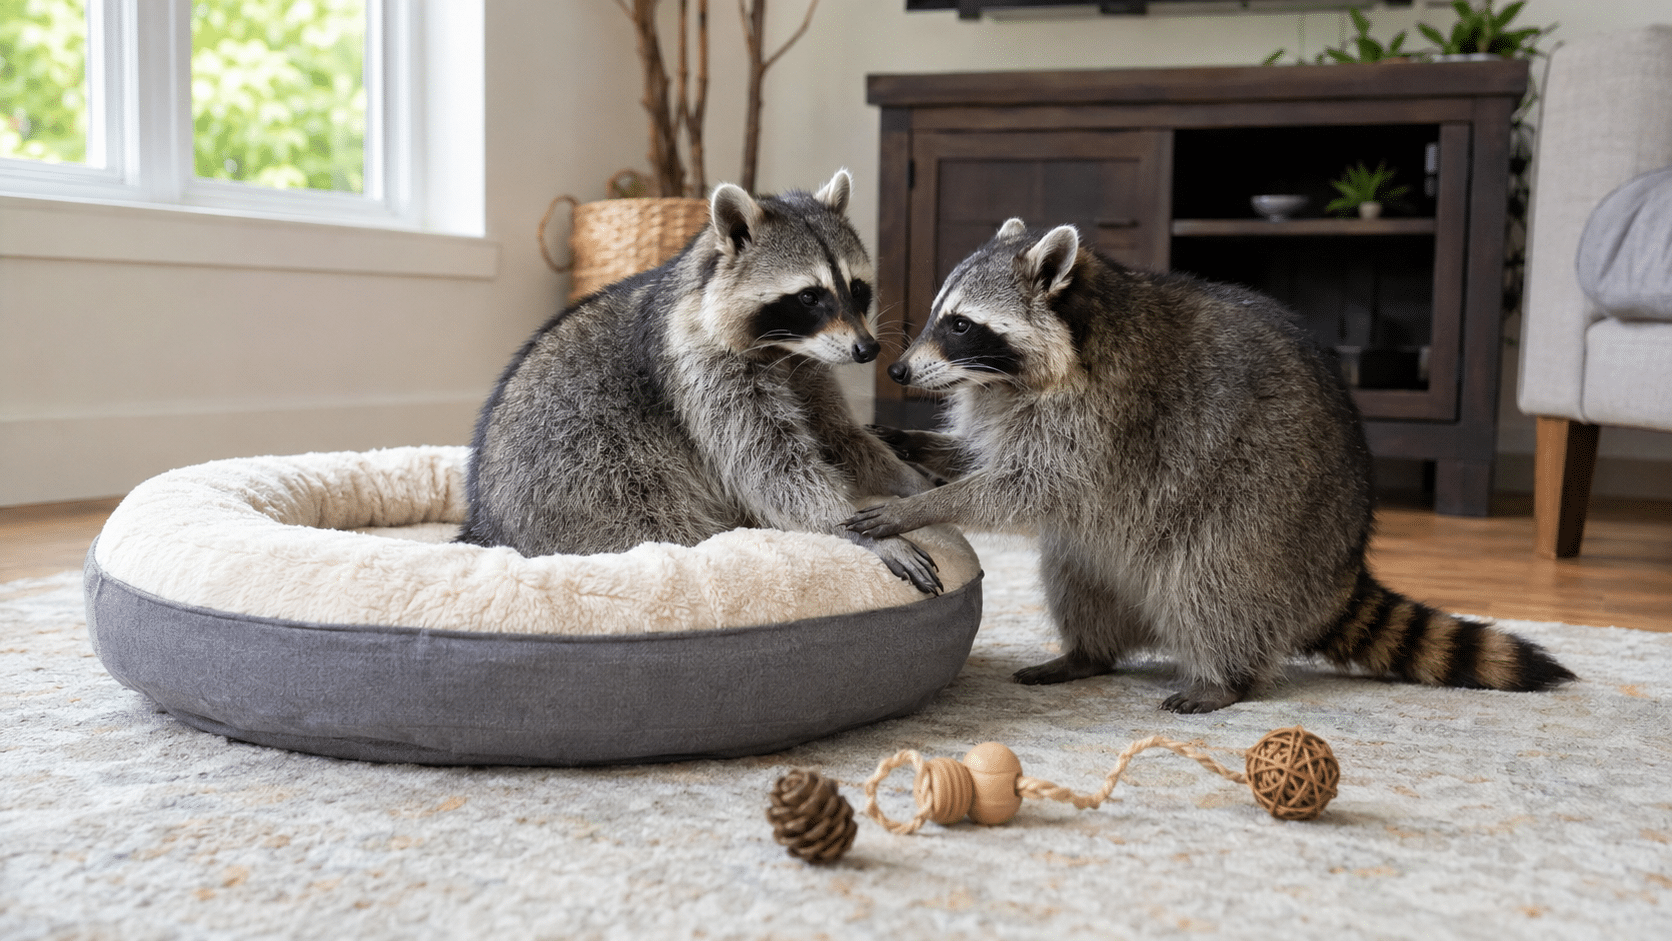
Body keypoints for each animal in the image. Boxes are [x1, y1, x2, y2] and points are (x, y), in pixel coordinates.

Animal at [459, 170, 941, 594]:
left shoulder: (807, 366)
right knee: (654, 517)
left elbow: (838, 435)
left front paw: (909, 482)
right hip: (588, 476)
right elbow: (770, 466)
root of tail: (485, 522)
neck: (785, 348)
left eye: (857, 289)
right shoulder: (699, 366)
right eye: (809, 297)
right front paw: (859, 530)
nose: (868, 350)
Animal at [847, 218, 1575, 711]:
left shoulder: (1103, 421)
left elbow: (1026, 489)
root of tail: (1341, 564)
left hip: (1265, 514)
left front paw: (924, 504)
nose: (899, 370)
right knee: (1077, 572)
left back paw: (1227, 676)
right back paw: (1088, 652)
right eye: (939, 315)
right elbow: (986, 457)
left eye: (961, 325)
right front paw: (911, 442)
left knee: (1209, 581)